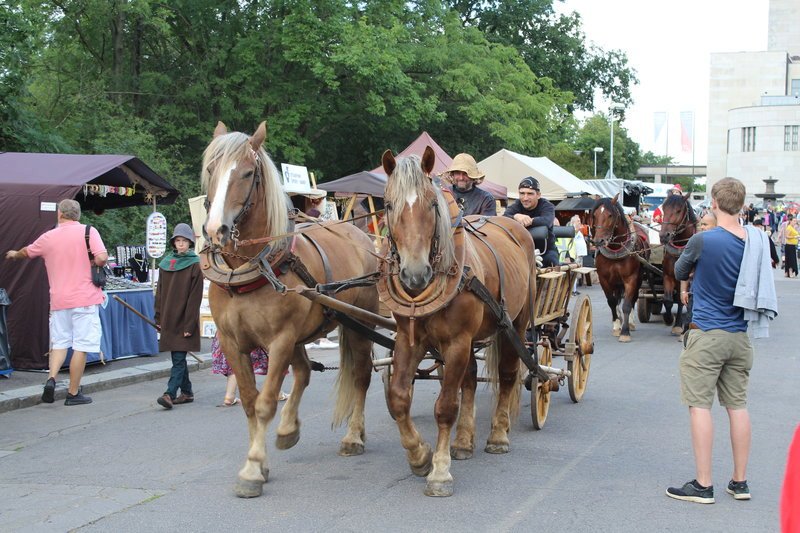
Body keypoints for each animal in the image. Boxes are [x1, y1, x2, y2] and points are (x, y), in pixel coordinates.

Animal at [198, 122, 376, 496]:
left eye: (247, 173)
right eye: (211, 169)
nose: (215, 230)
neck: (251, 269)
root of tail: (360, 235)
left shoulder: (278, 341)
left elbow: (265, 403)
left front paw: (252, 469)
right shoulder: (234, 343)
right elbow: (249, 401)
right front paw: (261, 458)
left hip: (356, 323)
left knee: (361, 376)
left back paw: (353, 436)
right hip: (302, 334)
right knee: (306, 372)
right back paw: (287, 429)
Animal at [376, 144, 536, 494]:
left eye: (432, 203)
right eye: (389, 204)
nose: (415, 274)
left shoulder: (458, 342)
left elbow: (446, 406)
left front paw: (439, 470)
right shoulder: (411, 339)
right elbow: (398, 398)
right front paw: (419, 455)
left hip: (515, 325)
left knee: (507, 375)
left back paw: (498, 435)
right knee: (471, 379)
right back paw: (463, 442)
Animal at [588, 194, 648, 340]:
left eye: (610, 215)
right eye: (595, 215)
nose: (598, 241)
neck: (616, 249)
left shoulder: (631, 279)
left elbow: (627, 303)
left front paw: (625, 331)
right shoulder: (604, 279)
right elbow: (612, 302)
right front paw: (616, 326)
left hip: (638, 279)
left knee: (633, 299)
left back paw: (630, 322)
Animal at [660, 191, 696, 332]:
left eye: (679, 210)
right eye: (664, 209)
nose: (664, 236)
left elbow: (681, 300)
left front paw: (678, 324)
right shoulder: (667, 276)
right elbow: (668, 300)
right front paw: (668, 318)